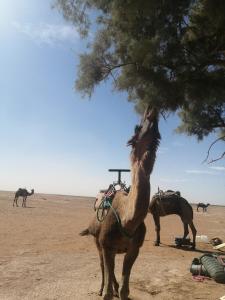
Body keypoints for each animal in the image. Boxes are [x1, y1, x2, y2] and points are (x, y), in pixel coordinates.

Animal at [79, 107, 160, 300]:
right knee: (103, 266)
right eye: (137, 128)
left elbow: (125, 289)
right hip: (97, 241)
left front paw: (119, 290)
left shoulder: (134, 249)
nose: (151, 111)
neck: (126, 221)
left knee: (111, 270)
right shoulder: (106, 245)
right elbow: (107, 290)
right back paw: (101, 287)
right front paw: (106, 291)